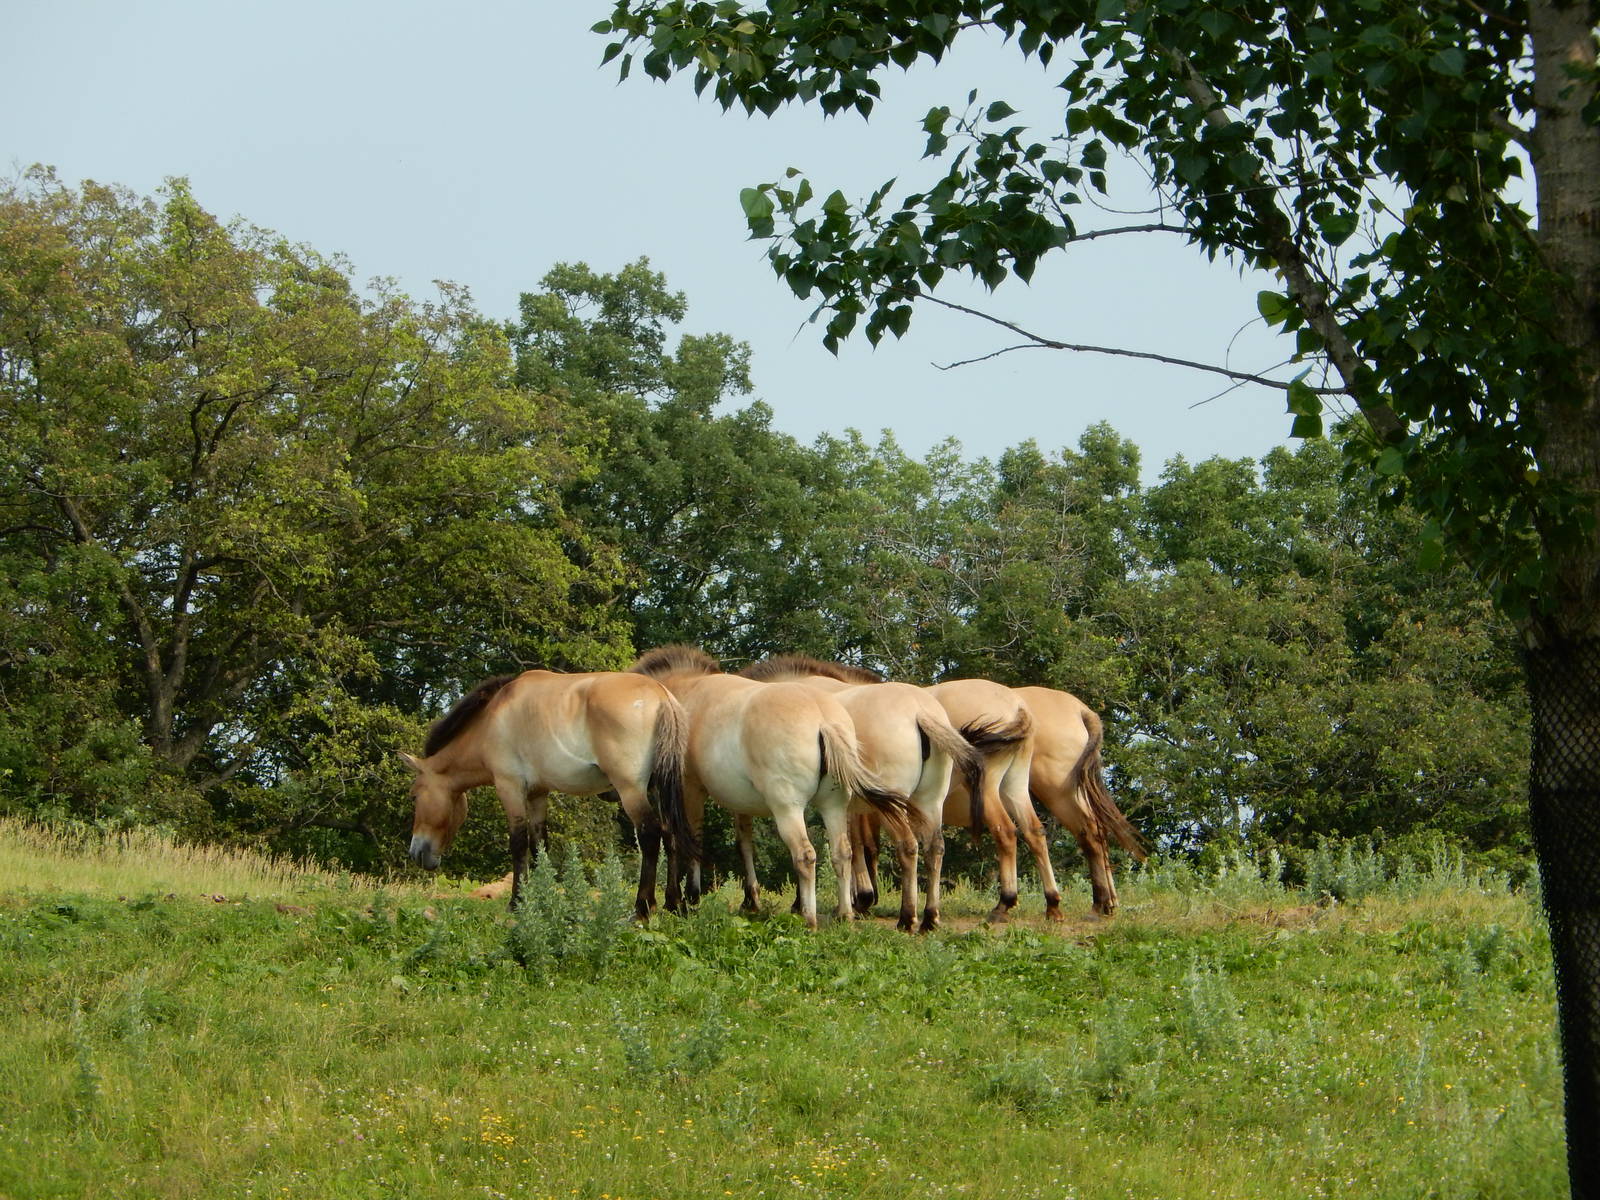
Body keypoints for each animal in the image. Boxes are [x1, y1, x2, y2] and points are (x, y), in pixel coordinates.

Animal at [401, 669, 694, 918]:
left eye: (414, 795)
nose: (415, 852)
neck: (492, 719)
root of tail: (661, 695)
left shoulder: (510, 788)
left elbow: (518, 843)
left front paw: (517, 901)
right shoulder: (537, 794)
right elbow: (539, 845)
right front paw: (543, 897)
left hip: (631, 790)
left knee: (650, 835)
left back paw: (642, 907)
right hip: (658, 789)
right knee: (670, 834)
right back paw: (673, 903)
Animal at [629, 645, 912, 929]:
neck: (686, 692)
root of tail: (824, 721)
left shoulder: (691, 789)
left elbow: (688, 836)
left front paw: (688, 898)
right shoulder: (739, 802)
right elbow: (743, 844)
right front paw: (749, 900)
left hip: (788, 808)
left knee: (805, 854)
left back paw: (810, 918)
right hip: (834, 806)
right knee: (843, 852)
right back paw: (845, 914)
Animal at [739, 655, 983, 931]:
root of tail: (920, 712)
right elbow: (857, 846)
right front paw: (858, 900)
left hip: (894, 809)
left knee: (908, 847)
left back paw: (907, 918)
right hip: (929, 802)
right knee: (935, 848)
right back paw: (929, 919)